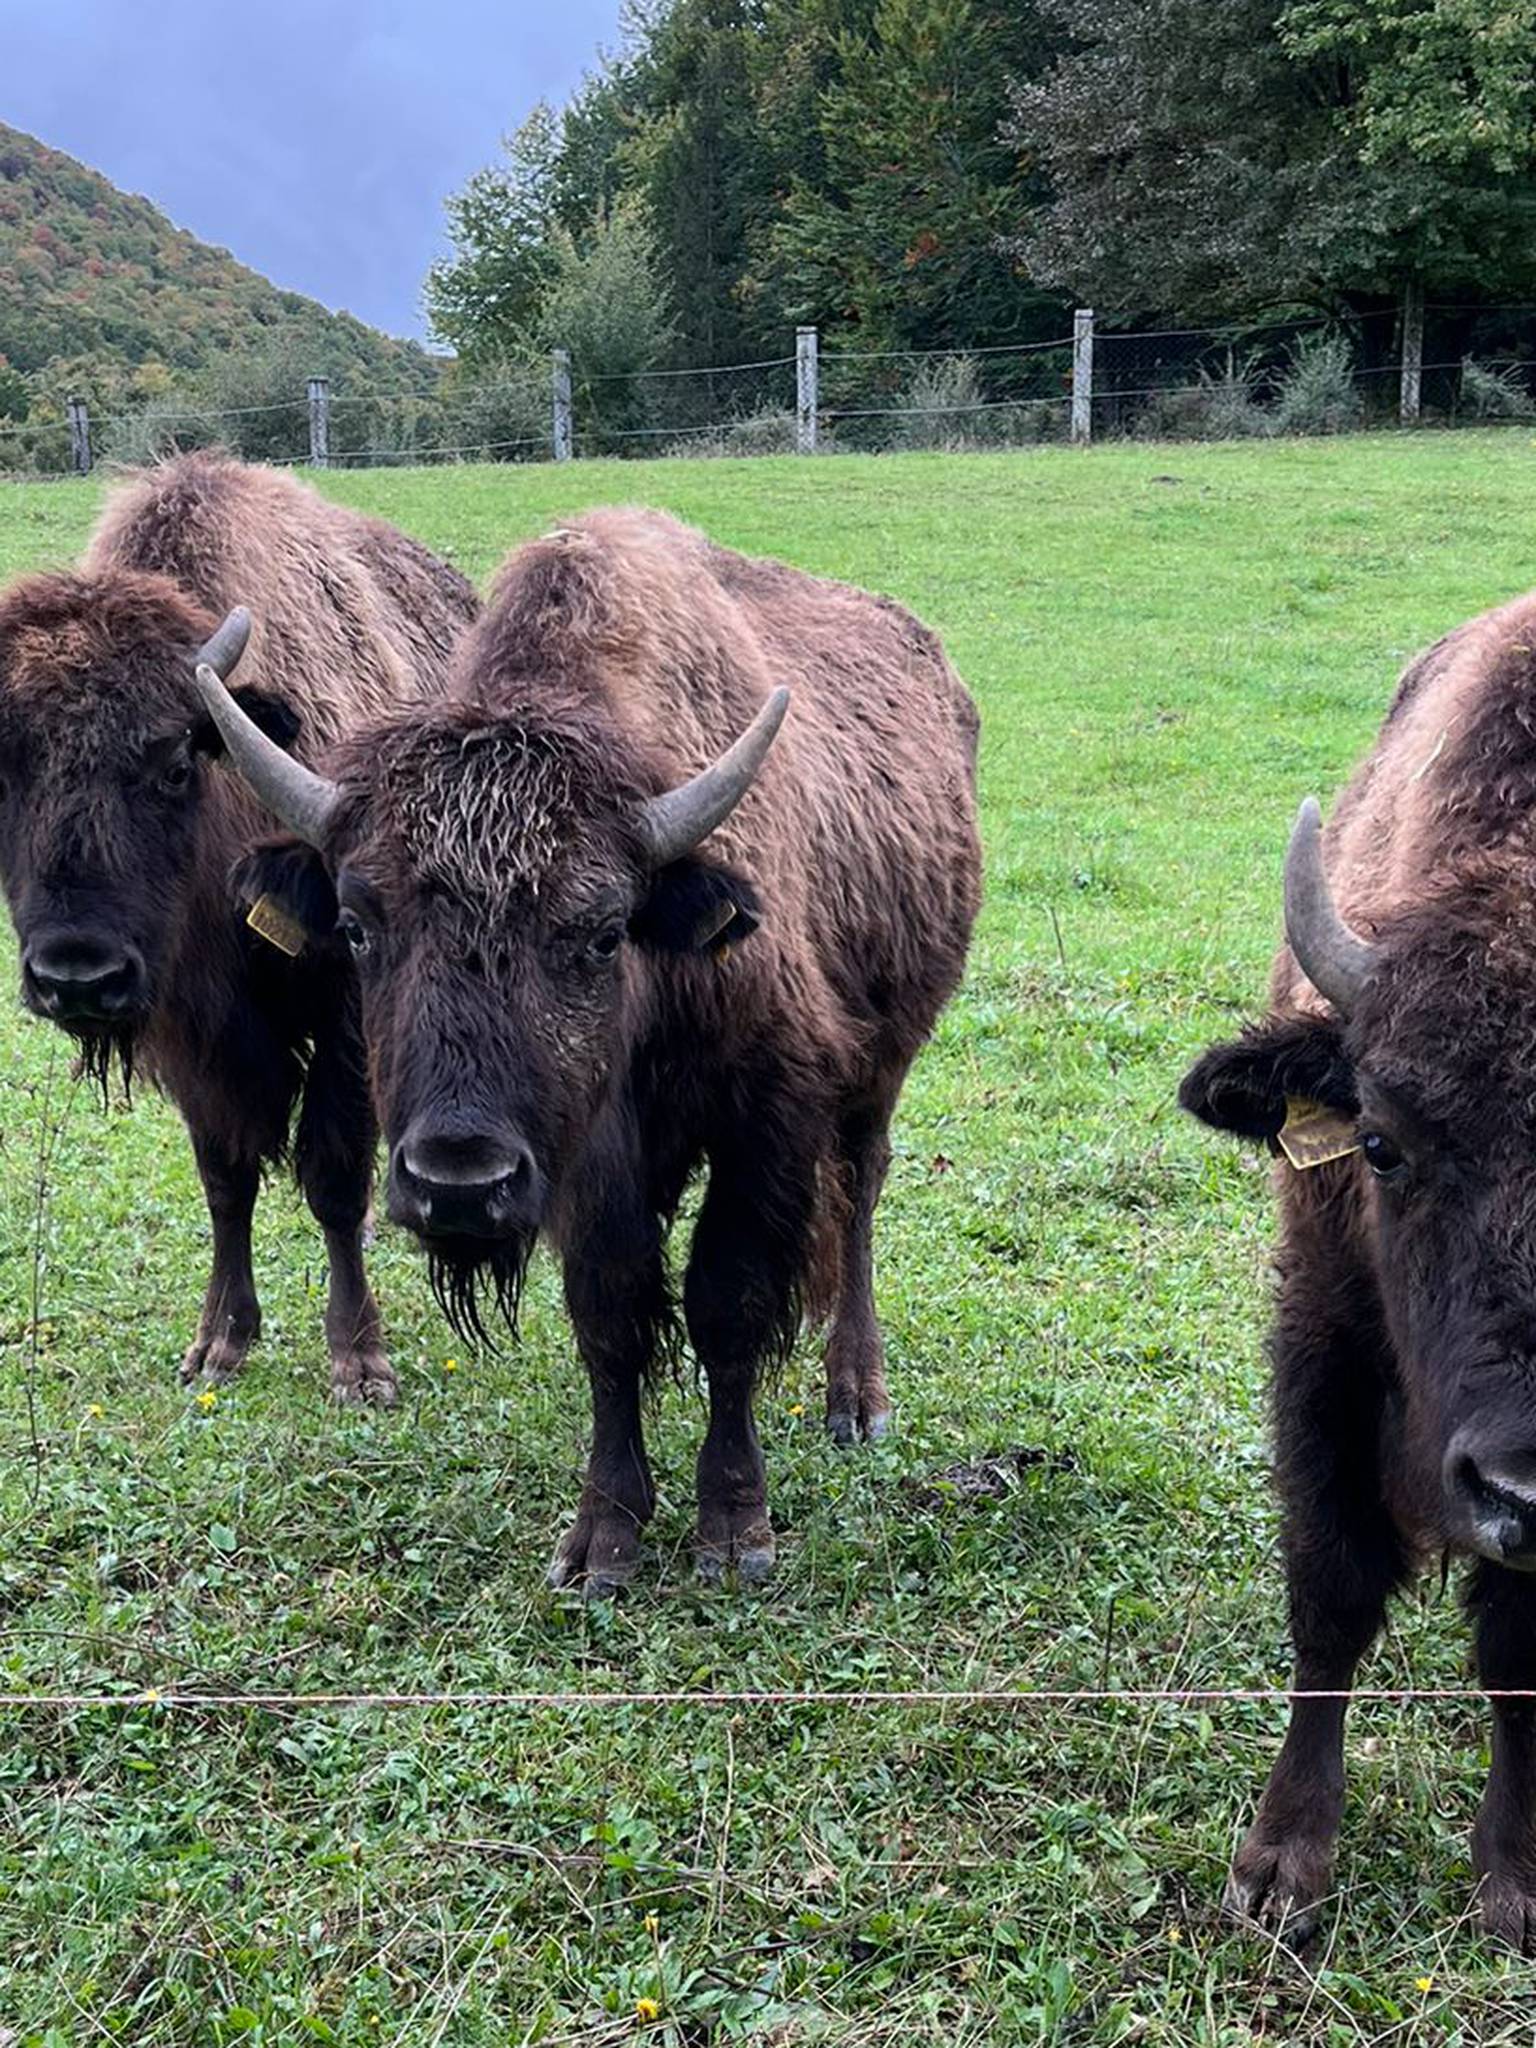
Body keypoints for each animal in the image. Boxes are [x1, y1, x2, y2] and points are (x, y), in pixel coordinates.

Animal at [0, 450, 479, 1409]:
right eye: (3, 768)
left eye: (174, 763)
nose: (77, 976)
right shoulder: (197, 1038)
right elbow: (226, 1179)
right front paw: (218, 1342)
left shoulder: (344, 1017)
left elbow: (332, 1178)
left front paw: (359, 1362)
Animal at [195, 507, 987, 1581]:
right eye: (357, 926)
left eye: (604, 931)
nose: (458, 1182)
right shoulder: (586, 1159)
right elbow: (610, 1313)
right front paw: (603, 1539)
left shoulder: (768, 1119)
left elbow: (728, 1302)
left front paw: (734, 1531)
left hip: (882, 1066)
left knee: (859, 1195)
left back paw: (855, 1398)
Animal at [1187, 593, 1536, 1949]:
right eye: (1380, 1142)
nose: (1521, 1482)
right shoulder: (1320, 1340)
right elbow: (1330, 1592)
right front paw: (1279, 1868)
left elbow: (1515, 1649)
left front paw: (1513, 1879)